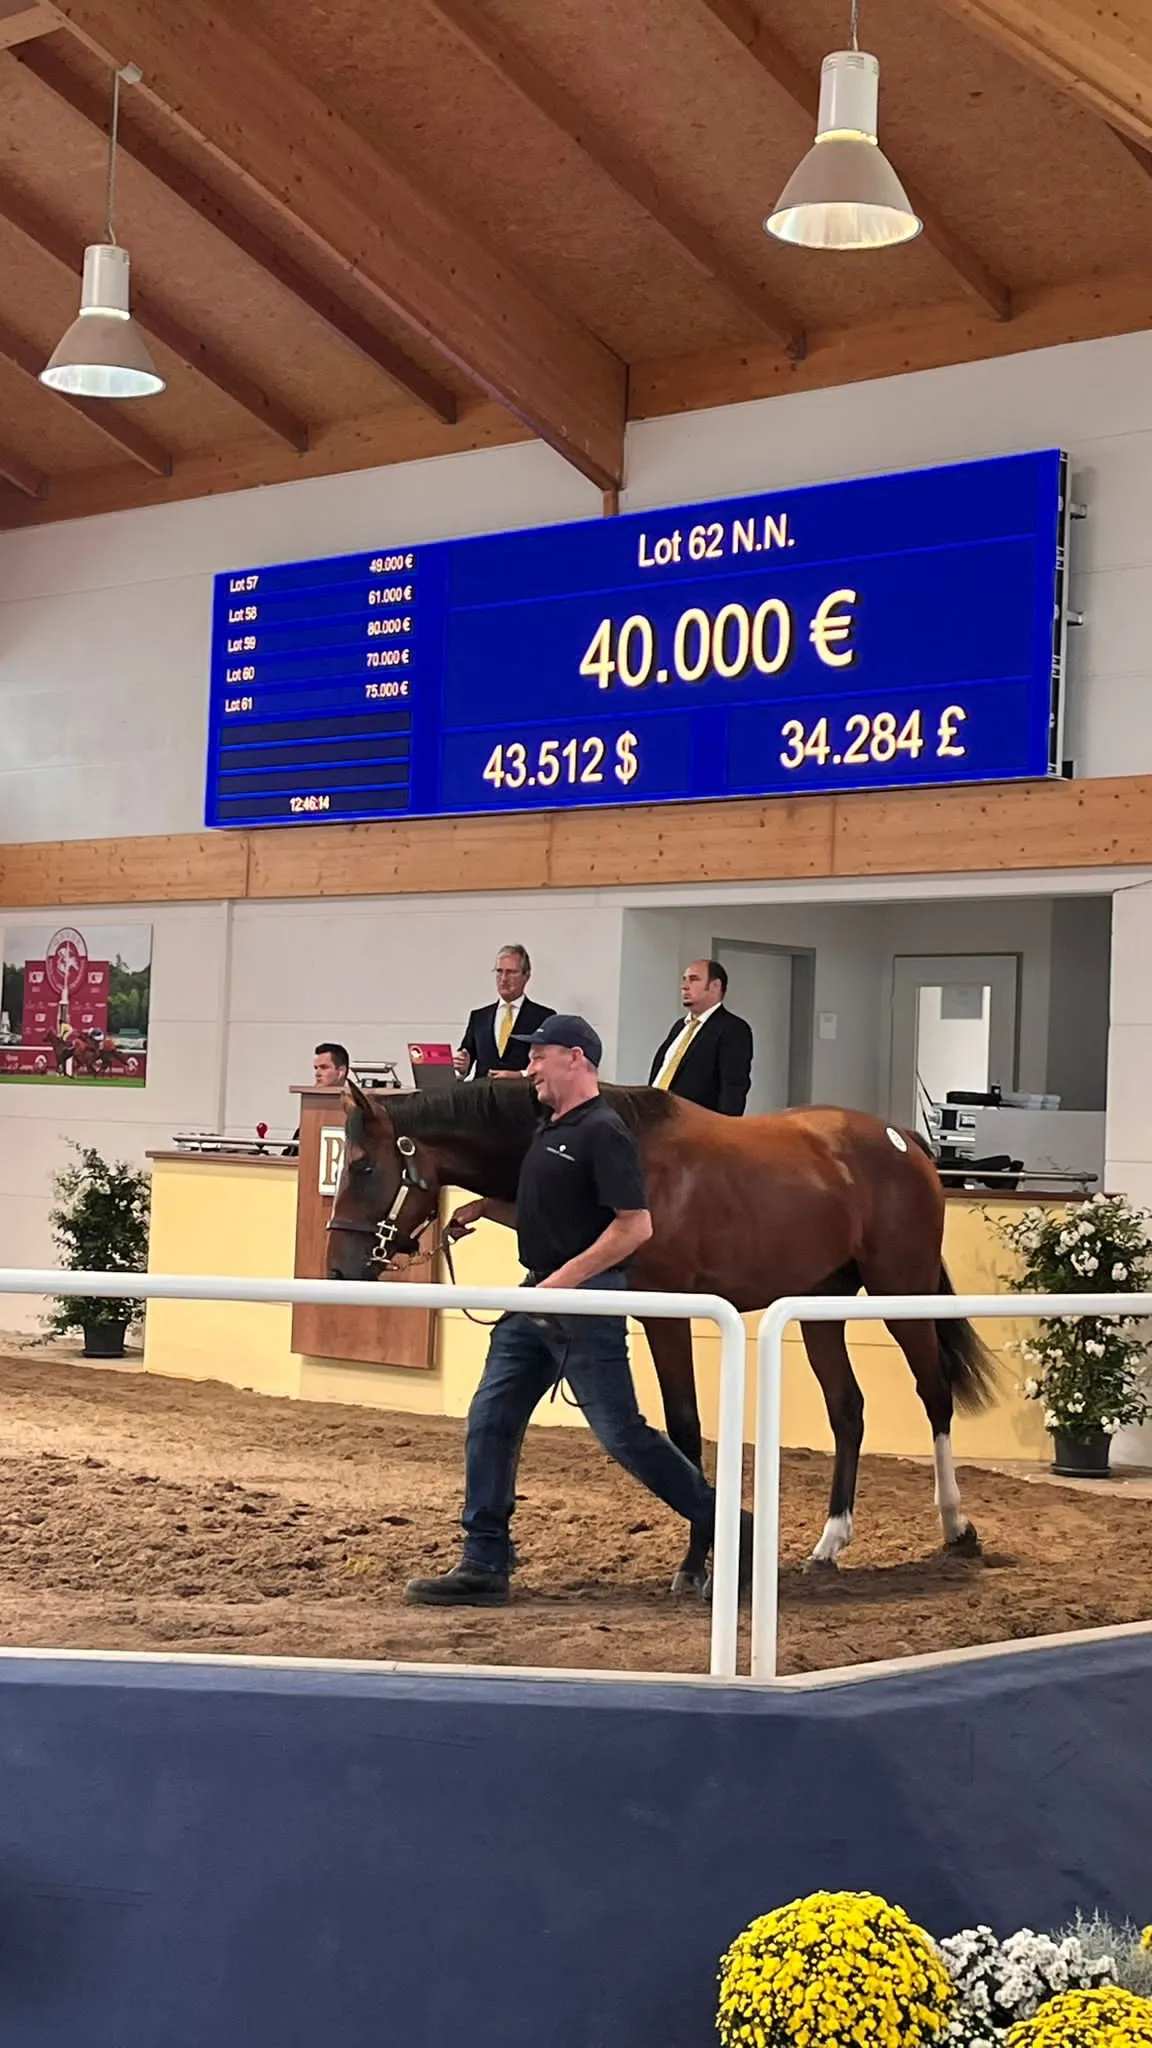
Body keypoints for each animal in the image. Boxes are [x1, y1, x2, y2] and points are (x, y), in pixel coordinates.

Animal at [327, 1079, 996, 1594]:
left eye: (362, 1166)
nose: (337, 1268)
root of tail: (904, 1140)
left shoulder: (667, 1316)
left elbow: (683, 1428)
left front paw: (697, 1566)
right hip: (820, 1307)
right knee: (848, 1411)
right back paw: (830, 1542)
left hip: (902, 1294)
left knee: (934, 1396)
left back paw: (957, 1528)